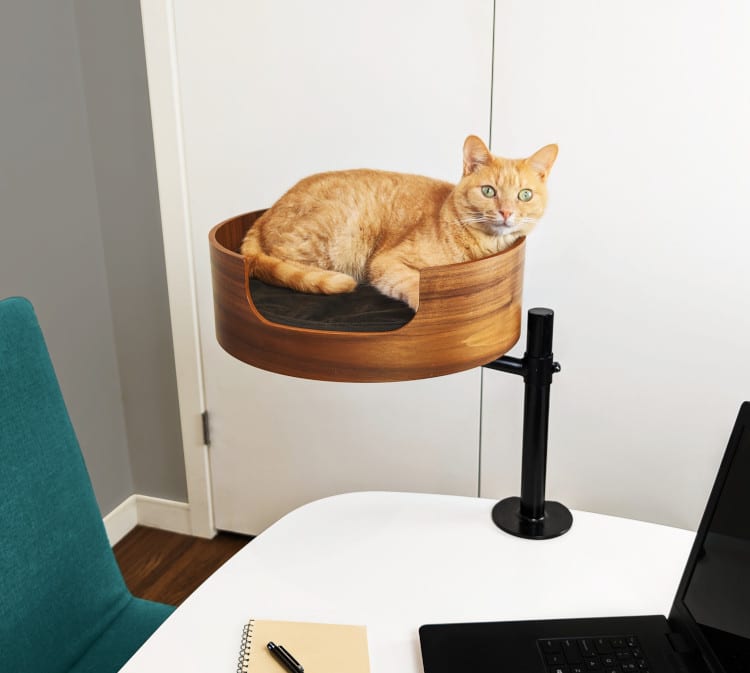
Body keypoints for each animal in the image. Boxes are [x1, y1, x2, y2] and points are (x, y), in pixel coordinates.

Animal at [241, 136, 560, 310]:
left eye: (524, 195)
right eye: (489, 191)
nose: (506, 213)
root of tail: (267, 212)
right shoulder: (387, 262)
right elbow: (413, 283)